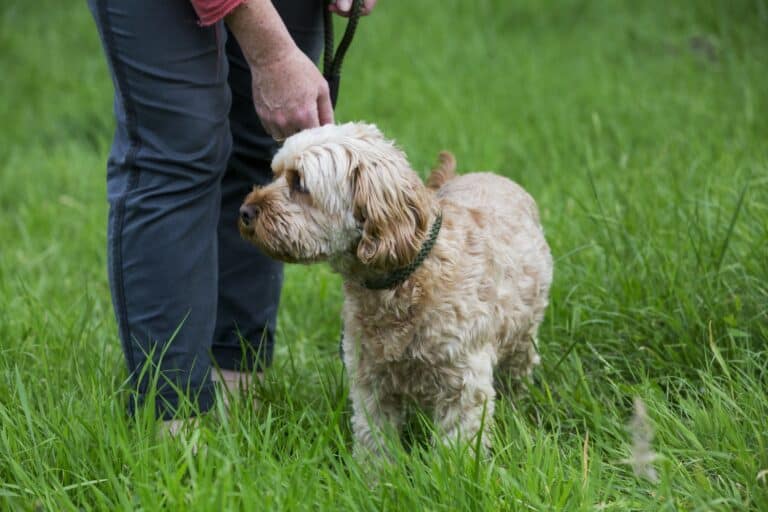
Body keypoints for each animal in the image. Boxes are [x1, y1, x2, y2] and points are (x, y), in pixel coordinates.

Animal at [240, 123, 552, 456]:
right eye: (275, 173)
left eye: (299, 182)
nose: (244, 211)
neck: (403, 281)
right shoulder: (370, 380)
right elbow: (374, 441)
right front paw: (373, 472)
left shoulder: (463, 382)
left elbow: (458, 443)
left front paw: (453, 468)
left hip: (523, 339)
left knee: (517, 376)